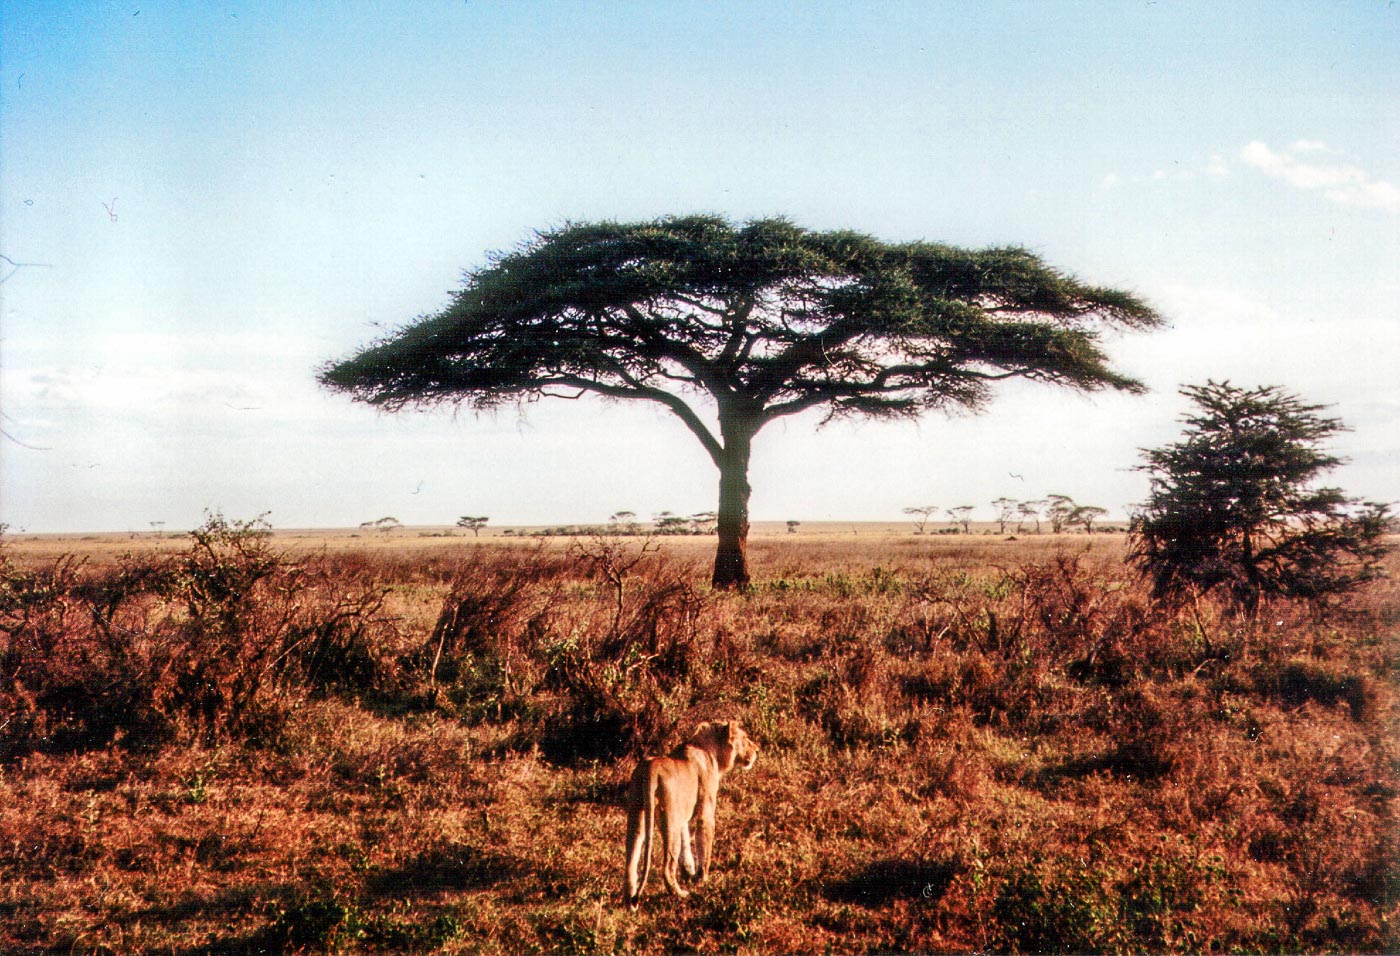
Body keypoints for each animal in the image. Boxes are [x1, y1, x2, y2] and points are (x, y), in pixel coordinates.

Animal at [623, 720, 759, 907]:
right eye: (745, 738)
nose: (757, 750)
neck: (711, 751)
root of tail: (651, 767)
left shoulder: (682, 816)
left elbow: (686, 840)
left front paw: (689, 871)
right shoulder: (705, 812)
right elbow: (704, 846)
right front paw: (703, 879)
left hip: (638, 814)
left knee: (631, 858)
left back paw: (630, 901)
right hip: (670, 819)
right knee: (667, 866)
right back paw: (680, 894)